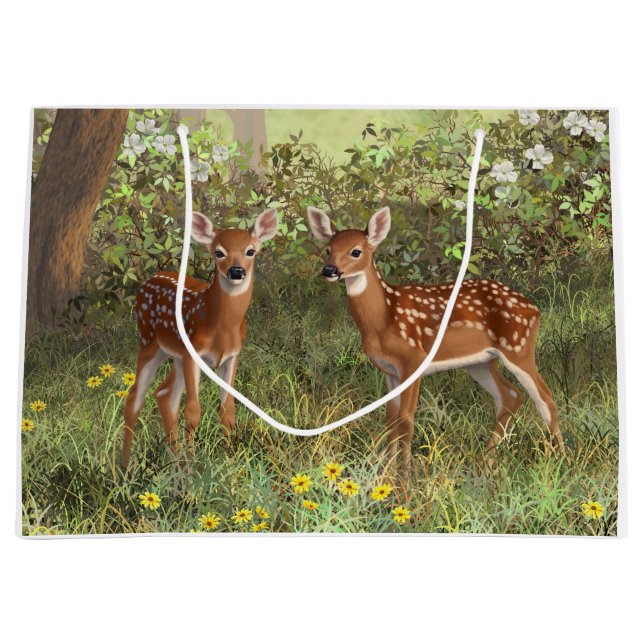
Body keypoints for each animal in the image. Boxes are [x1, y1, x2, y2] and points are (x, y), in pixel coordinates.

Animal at [121, 208, 278, 467]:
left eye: (250, 251)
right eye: (219, 252)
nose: (236, 271)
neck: (222, 327)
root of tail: (150, 278)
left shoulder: (232, 356)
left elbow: (228, 409)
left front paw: (229, 457)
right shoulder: (192, 354)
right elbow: (193, 410)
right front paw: (194, 462)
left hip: (175, 355)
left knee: (165, 394)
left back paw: (175, 459)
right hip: (149, 341)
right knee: (136, 397)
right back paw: (125, 464)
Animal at [307, 206, 564, 475]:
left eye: (356, 251)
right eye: (328, 250)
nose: (329, 270)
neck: (384, 317)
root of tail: (534, 308)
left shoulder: (413, 359)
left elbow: (406, 420)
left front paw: (406, 478)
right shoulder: (389, 370)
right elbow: (390, 420)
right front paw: (386, 475)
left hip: (518, 347)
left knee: (546, 399)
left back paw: (563, 461)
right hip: (481, 362)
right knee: (510, 396)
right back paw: (484, 465)